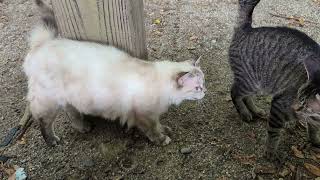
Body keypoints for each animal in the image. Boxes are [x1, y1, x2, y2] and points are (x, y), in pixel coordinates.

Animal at [23, 0, 206, 146]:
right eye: (197, 88)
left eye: (203, 84)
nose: (205, 92)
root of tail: (42, 44)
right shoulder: (144, 115)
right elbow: (153, 130)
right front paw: (162, 139)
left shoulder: (153, 115)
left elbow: (159, 124)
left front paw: (165, 130)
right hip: (48, 102)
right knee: (43, 122)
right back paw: (52, 140)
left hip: (69, 98)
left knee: (71, 113)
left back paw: (83, 127)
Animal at [229, 0, 320, 162]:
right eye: (299, 99)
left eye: (305, 106)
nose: (294, 108)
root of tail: (246, 29)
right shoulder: (280, 103)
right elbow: (273, 132)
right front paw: (271, 151)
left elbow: (313, 127)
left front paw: (315, 139)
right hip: (250, 82)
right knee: (235, 92)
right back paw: (244, 112)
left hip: (259, 83)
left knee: (246, 96)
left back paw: (255, 110)